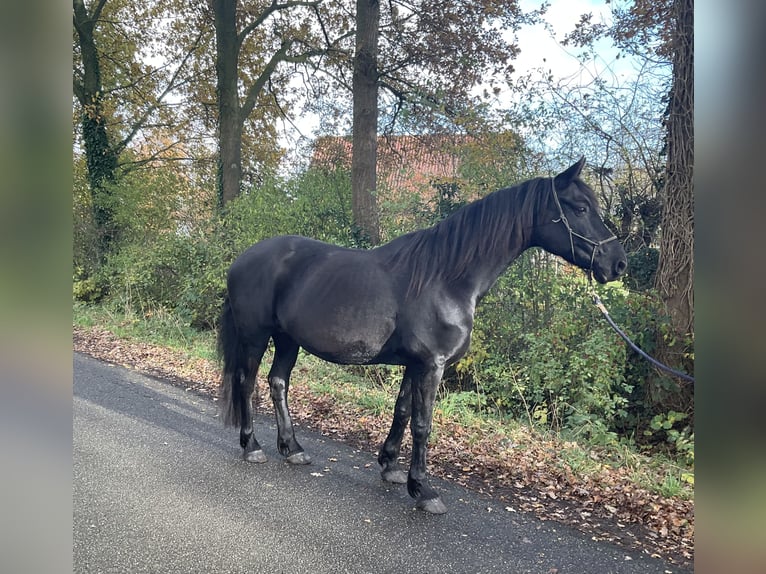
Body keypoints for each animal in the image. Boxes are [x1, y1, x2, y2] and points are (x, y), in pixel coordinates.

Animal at [219, 156, 628, 512]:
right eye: (580, 208)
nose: (618, 264)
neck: (447, 279)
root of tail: (243, 258)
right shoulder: (432, 365)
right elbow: (423, 424)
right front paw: (424, 490)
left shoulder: (415, 364)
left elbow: (402, 412)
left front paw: (392, 467)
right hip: (256, 336)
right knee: (246, 382)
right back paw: (252, 446)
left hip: (288, 339)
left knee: (277, 383)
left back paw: (293, 448)